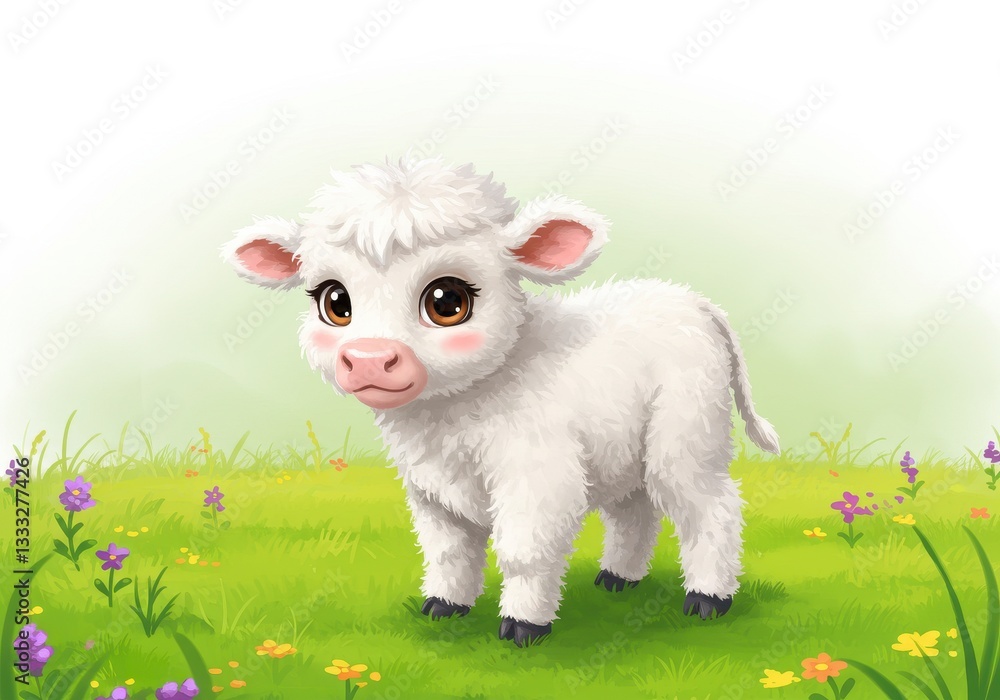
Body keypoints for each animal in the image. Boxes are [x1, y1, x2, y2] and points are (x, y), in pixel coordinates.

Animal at [223, 157, 780, 646]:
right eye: (334, 301)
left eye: (447, 301)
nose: (368, 358)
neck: (453, 416)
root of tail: (693, 301)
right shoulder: (431, 491)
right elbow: (449, 553)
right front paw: (444, 607)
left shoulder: (540, 477)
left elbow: (523, 553)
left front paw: (523, 626)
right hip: (626, 448)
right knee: (634, 511)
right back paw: (618, 578)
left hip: (685, 434)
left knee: (711, 507)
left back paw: (708, 598)